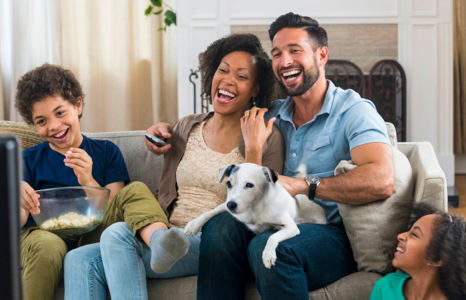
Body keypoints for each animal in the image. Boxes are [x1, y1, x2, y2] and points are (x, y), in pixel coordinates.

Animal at [184, 163, 326, 268]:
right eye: (229, 183)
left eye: (249, 185)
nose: (231, 205)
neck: (254, 208)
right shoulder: (228, 207)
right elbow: (212, 211)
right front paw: (193, 225)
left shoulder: (291, 227)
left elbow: (272, 237)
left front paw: (268, 254)